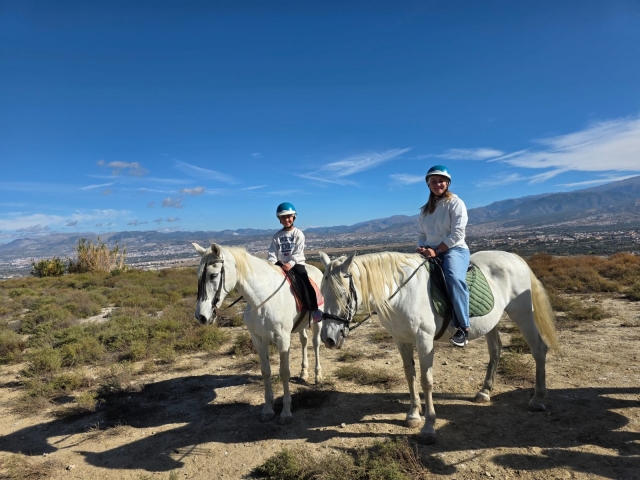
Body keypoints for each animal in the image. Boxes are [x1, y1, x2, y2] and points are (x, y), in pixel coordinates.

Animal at [192, 242, 324, 424]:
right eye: (198, 276)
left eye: (213, 275)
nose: (201, 316)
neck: (261, 299)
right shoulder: (258, 340)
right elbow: (266, 372)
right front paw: (268, 409)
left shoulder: (283, 340)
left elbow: (284, 373)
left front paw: (286, 412)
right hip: (301, 325)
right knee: (304, 341)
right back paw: (304, 372)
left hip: (317, 322)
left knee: (315, 344)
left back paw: (318, 376)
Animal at [318, 250, 559, 444]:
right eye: (321, 292)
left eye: (342, 294)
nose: (328, 339)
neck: (401, 293)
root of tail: (516, 258)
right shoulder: (401, 340)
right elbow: (410, 375)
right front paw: (413, 415)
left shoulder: (424, 340)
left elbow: (427, 381)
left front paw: (428, 427)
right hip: (492, 322)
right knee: (496, 351)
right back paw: (484, 392)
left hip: (522, 314)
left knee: (538, 349)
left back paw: (538, 399)